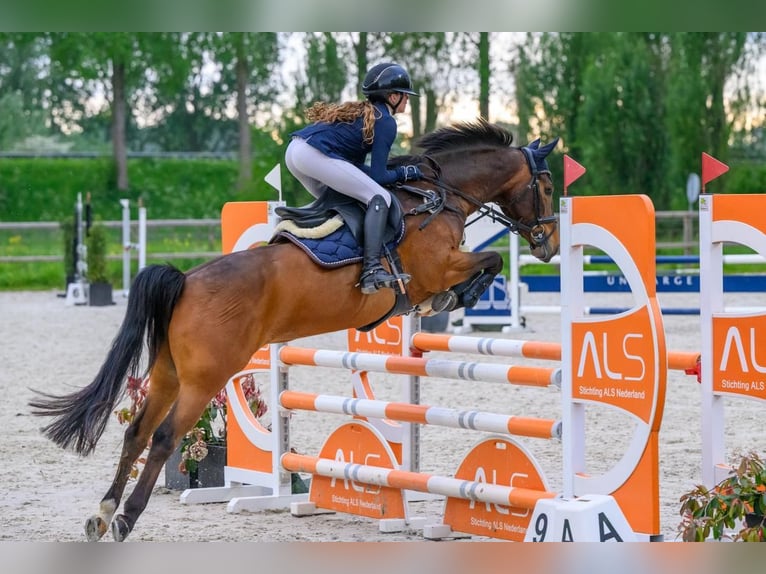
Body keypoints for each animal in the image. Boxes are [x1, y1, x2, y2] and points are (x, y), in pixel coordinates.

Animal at [29, 119, 560, 541]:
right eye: (549, 186)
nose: (549, 245)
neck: (437, 198)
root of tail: (186, 282)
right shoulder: (439, 266)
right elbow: (488, 262)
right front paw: (456, 298)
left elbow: (486, 264)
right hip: (204, 379)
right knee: (161, 439)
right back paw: (125, 519)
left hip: (168, 373)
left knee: (136, 434)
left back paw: (101, 515)